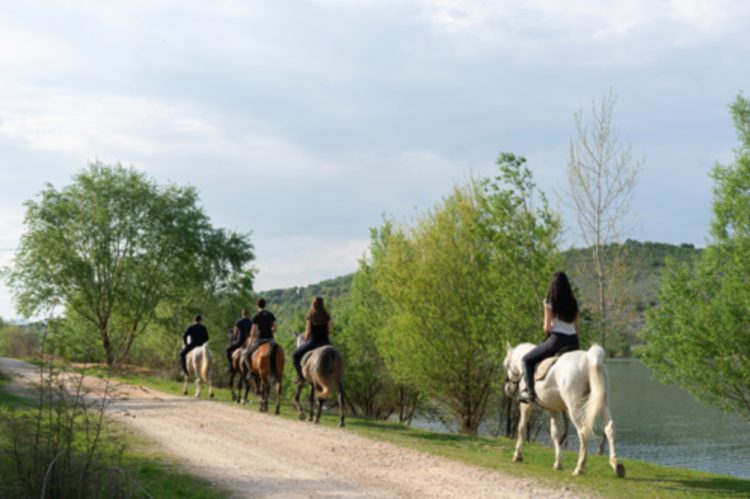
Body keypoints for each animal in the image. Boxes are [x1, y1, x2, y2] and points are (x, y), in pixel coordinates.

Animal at [506, 342, 628, 478]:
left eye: (506, 365)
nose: (508, 389)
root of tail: (588, 358)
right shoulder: (553, 410)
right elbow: (555, 434)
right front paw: (558, 463)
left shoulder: (526, 405)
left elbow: (521, 427)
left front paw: (517, 455)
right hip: (601, 402)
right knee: (609, 427)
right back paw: (616, 465)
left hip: (574, 406)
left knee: (583, 431)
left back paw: (579, 468)